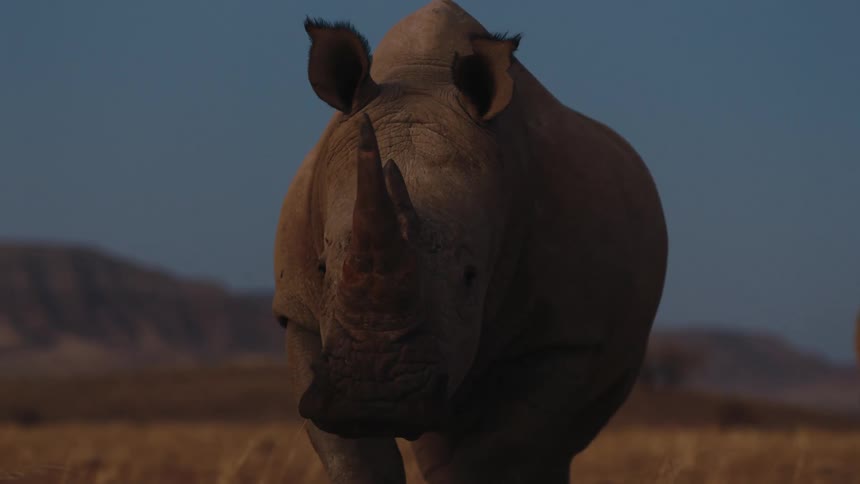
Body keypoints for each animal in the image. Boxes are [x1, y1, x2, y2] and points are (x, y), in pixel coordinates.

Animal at [272, 1, 668, 482]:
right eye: (322, 267)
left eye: (470, 276)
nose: (374, 398)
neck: (423, 76)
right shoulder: (300, 314)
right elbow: (357, 459)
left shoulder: (567, 333)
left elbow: (495, 452)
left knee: (558, 440)